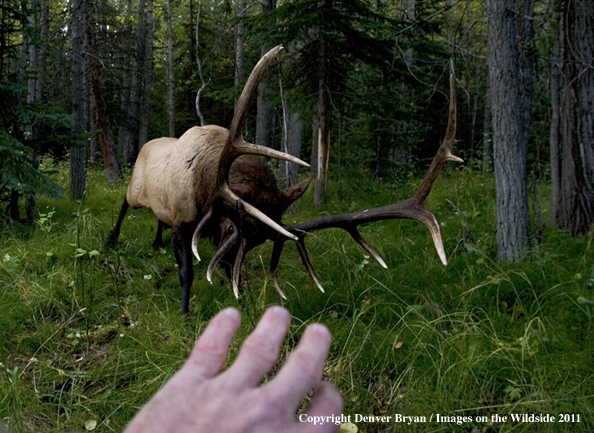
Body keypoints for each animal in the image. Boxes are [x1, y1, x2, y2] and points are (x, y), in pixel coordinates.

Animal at [107, 45, 458, 312]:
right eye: (233, 227)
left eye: (259, 241)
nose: (228, 270)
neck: (208, 184)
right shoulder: (183, 218)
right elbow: (185, 272)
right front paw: (184, 311)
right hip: (135, 189)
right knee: (124, 203)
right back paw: (111, 239)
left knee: (157, 219)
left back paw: (155, 242)